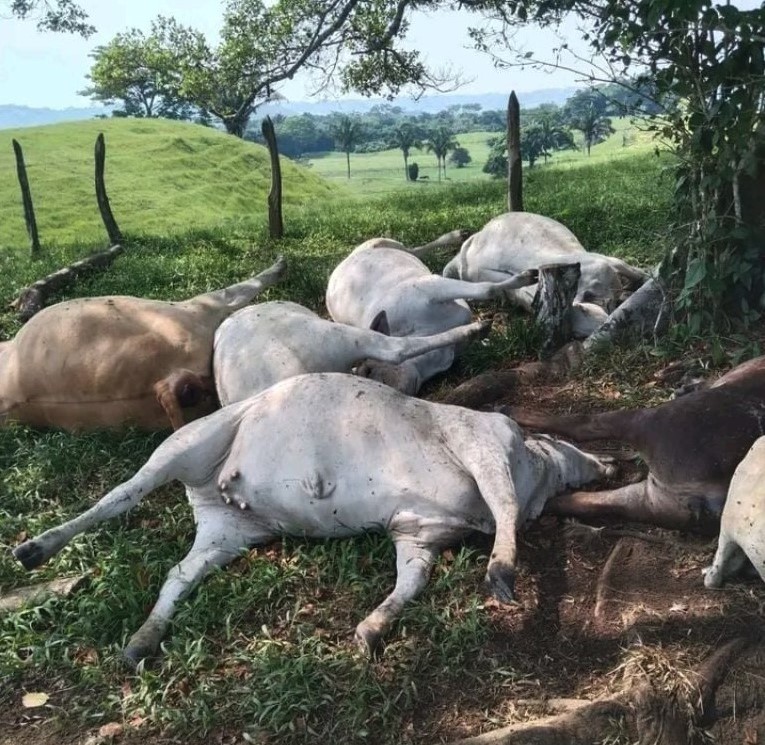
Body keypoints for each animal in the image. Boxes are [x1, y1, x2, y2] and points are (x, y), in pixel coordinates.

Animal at [13, 373, 615, 665]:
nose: (607, 462)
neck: (534, 467)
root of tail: (213, 489)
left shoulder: (418, 531)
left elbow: (412, 580)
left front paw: (372, 629)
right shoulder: (481, 442)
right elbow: (504, 506)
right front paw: (502, 575)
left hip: (228, 531)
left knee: (180, 573)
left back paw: (142, 640)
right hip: (188, 442)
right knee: (122, 493)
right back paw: (35, 549)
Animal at [326, 234, 538, 393]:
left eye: (368, 371)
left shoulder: (428, 286)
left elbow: (487, 289)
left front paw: (526, 278)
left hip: (382, 241)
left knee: (414, 249)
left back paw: (457, 235)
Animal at [508, 354, 765, 533]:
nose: (684, 380)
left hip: (646, 422)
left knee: (583, 424)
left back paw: (513, 411)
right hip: (651, 502)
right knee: (581, 502)